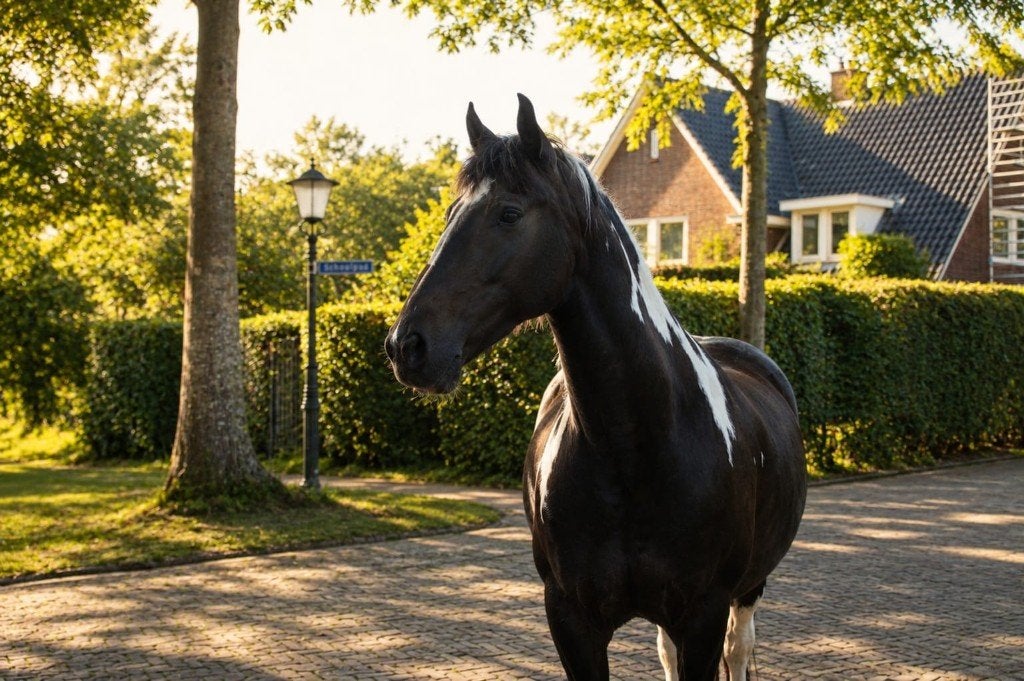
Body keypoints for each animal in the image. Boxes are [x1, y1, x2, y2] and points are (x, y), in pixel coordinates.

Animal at [385, 94, 806, 681]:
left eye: (509, 213)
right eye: (450, 216)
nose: (408, 346)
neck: (636, 446)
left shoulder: (703, 615)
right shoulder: (572, 620)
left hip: (747, 592)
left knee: (739, 650)